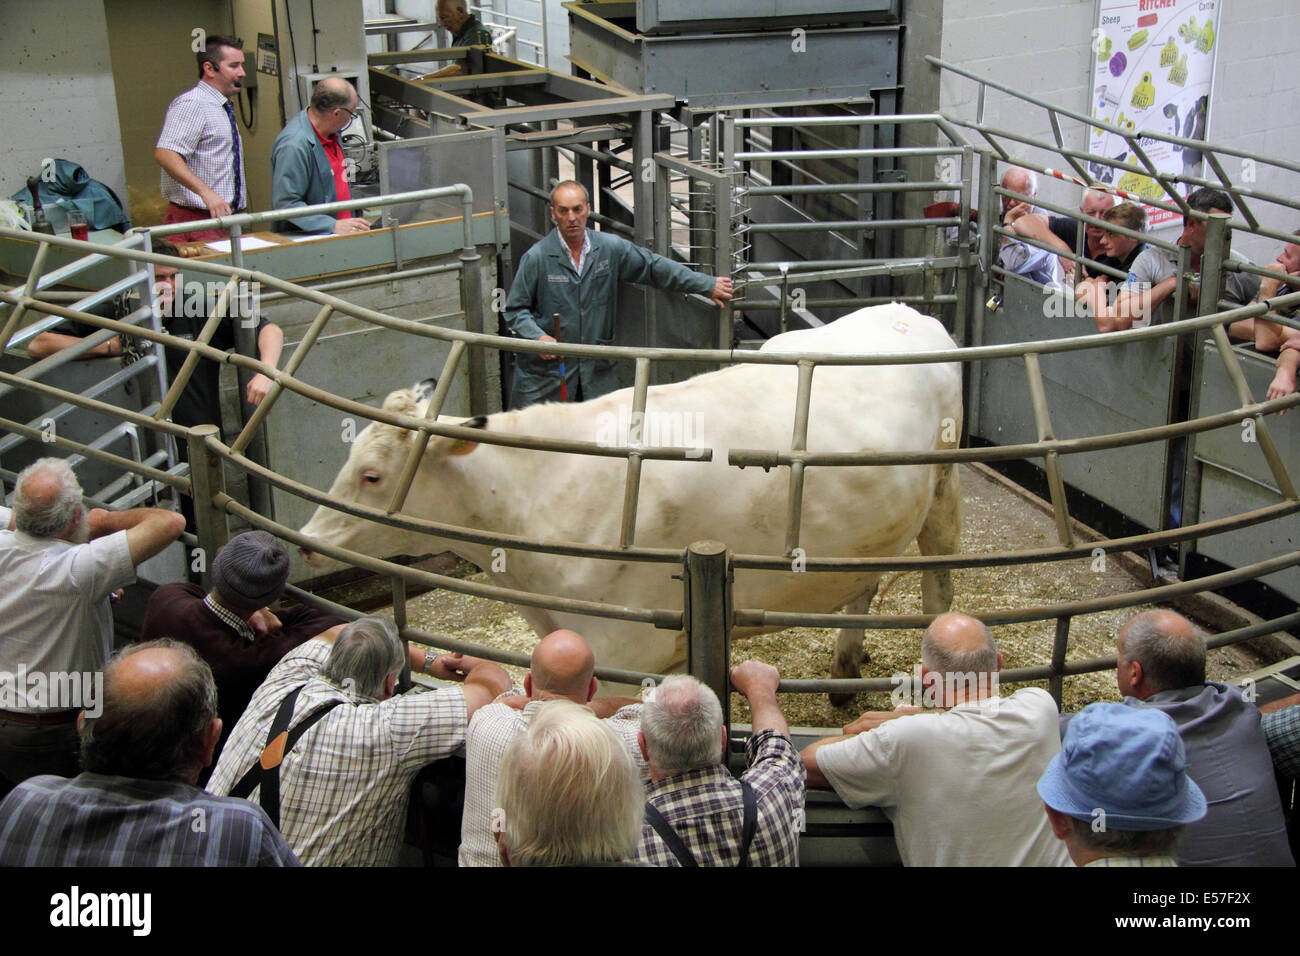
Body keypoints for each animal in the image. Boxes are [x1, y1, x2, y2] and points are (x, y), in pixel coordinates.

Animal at [298, 304, 962, 701]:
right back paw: (844, 671)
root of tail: (908, 312)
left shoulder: (622, 651)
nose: (309, 541)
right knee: (863, 581)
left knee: (939, 581)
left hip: (943, 488)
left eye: (373, 475)